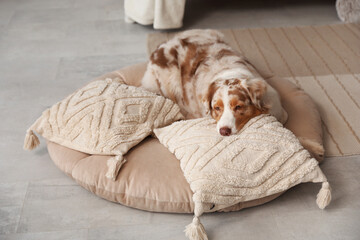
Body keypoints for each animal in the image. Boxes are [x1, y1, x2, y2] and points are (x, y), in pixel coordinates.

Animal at [141, 29, 286, 136]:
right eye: (217, 108)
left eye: (238, 107)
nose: (224, 131)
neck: (229, 72)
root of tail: (160, 47)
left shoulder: (280, 111)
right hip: (170, 82)